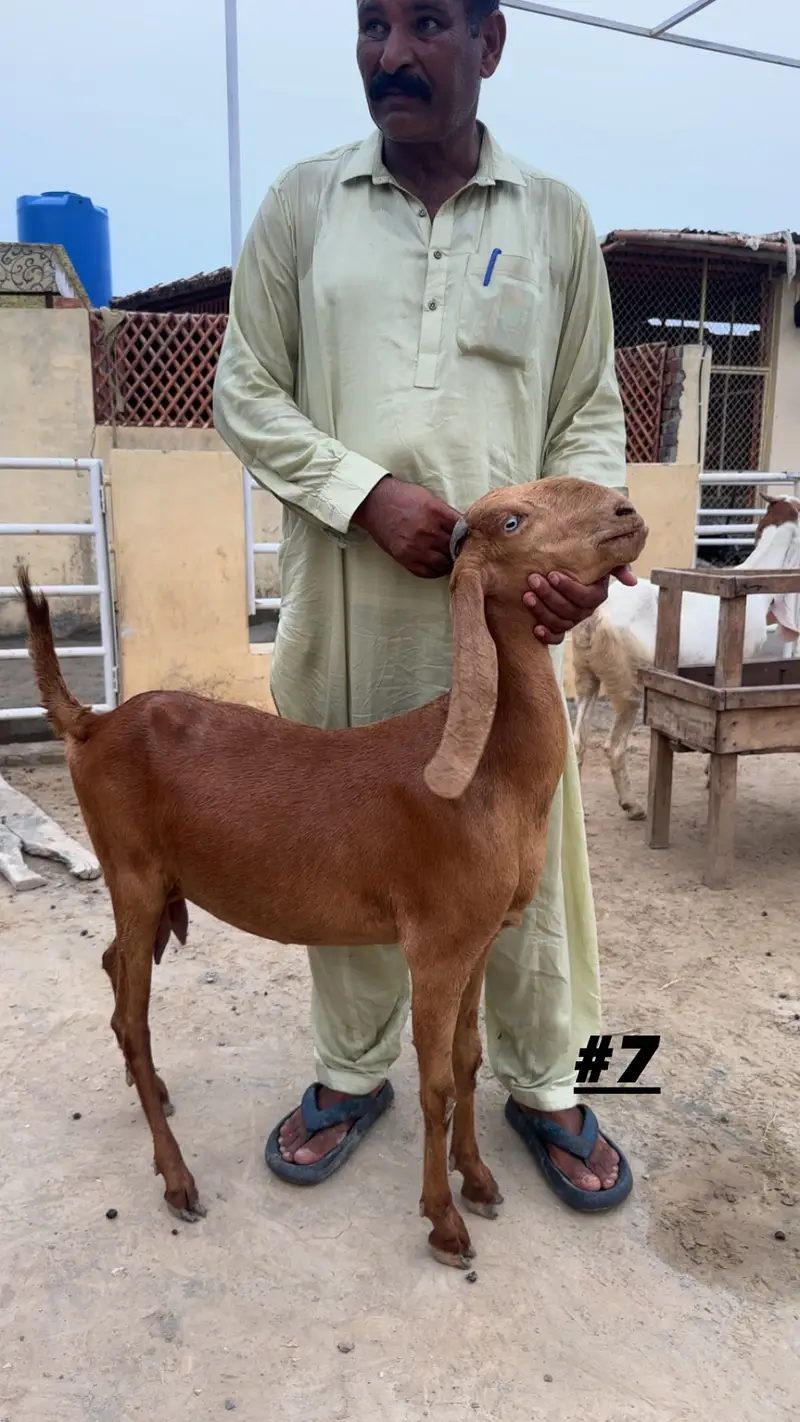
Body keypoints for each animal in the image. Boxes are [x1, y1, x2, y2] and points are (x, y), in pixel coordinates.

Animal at [19, 477, 647, 1269]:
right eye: (512, 519)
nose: (628, 513)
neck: (487, 770)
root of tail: (91, 724)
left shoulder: (479, 940)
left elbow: (470, 1060)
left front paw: (477, 1178)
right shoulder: (435, 944)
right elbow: (436, 1082)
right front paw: (444, 1223)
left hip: (154, 887)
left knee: (112, 971)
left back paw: (152, 1089)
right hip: (130, 872)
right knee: (133, 1017)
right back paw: (177, 1178)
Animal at [573, 496, 800, 820]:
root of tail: (598, 617)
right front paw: (709, 774)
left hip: (586, 672)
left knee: (578, 740)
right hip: (626, 678)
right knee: (613, 746)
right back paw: (633, 806)